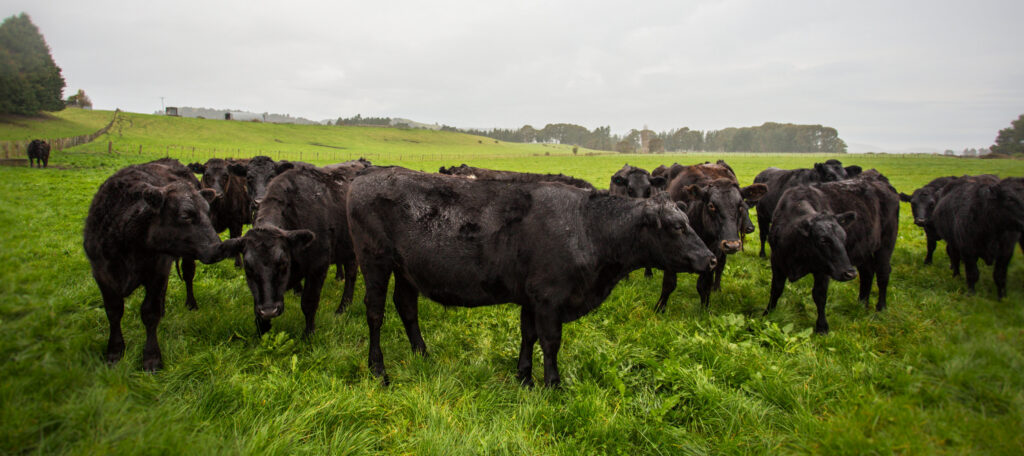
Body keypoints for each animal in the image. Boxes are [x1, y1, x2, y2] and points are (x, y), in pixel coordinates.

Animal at [84, 159, 242, 371]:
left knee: (187, 275)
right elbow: (114, 312)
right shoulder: (102, 275)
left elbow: (150, 312)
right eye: (185, 215)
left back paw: (190, 304)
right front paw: (115, 352)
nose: (219, 248)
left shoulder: (156, 271)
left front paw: (151, 358)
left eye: (207, 212)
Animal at [221, 165, 359, 334]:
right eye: (248, 267)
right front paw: (262, 333)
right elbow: (258, 312)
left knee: (351, 276)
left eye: (283, 262)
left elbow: (309, 303)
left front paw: (309, 334)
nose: (269, 310)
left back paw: (341, 308)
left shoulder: (318, 265)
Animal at [346, 167, 717, 387]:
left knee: (407, 308)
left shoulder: (531, 297)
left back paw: (423, 355)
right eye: (677, 226)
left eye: (687, 220)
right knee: (375, 313)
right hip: (375, 261)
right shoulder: (549, 297)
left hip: (405, 269)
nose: (711, 259)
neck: (587, 226)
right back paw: (379, 370)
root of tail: (367, 176)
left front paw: (523, 377)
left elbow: (528, 336)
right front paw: (553, 384)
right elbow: (551, 342)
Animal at [657, 161, 767, 311]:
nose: (732, 245)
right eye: (711, 206)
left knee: (720, 267)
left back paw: (717, 287)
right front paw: (659, 308)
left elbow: (704, 285)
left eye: (740, 206)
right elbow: (669, 283)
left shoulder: (714, 251)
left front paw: (704, 310)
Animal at [762, 170, 899, 334]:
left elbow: (819, 295)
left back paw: (881, 307)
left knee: (883, 273)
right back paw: (861, 303)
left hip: (886, 245)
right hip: (864, 250)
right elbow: (776, 288)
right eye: (823, 240)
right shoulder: (777, 261)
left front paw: (822, 327)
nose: (849, 273)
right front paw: (768, 313)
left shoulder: (823, 269)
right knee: (867, 272)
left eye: (844, 237)